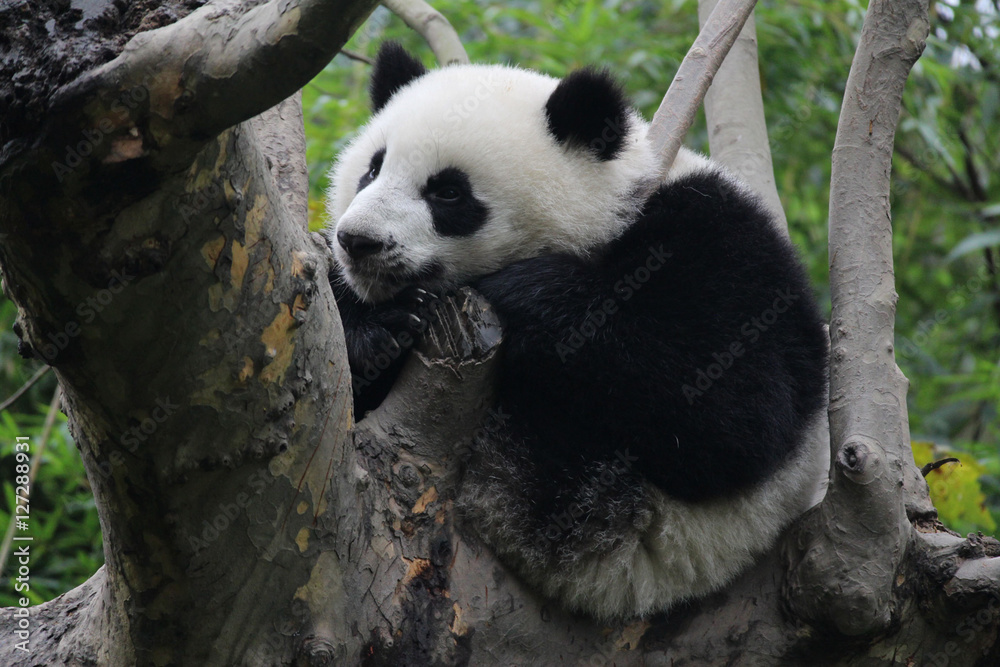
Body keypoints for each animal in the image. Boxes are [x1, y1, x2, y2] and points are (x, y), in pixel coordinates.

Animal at [326, 43, 829, 620]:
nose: (358, 241)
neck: (609, 209)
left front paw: (518, 291)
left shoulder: (724, 241)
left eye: (449, 192)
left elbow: (737, 410)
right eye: (372, 170)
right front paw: (380, 326)